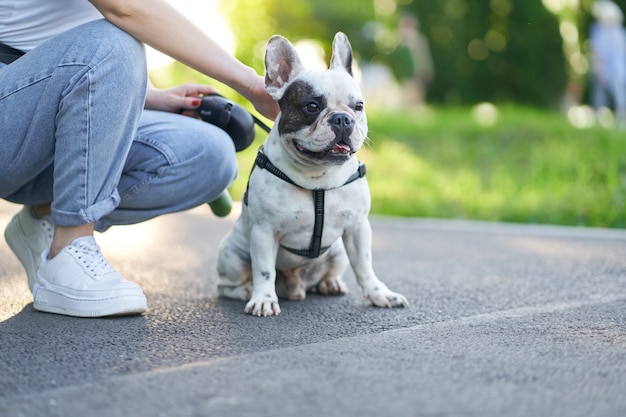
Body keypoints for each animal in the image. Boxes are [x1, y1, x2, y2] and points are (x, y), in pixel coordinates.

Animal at [217, 31, 408, 316]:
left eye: (358, 106)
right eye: (311, 106)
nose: (342, 118)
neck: (319, 178)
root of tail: (295, 287)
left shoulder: (358, 228)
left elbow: (365, 267)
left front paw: (379, 294)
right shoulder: (264, 232)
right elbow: (264, 270)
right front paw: (264, 299)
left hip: (338, 253)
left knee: (329, 273)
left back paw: (330, 284)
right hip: (231, 255)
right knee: (228, 284)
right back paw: (246, 291)